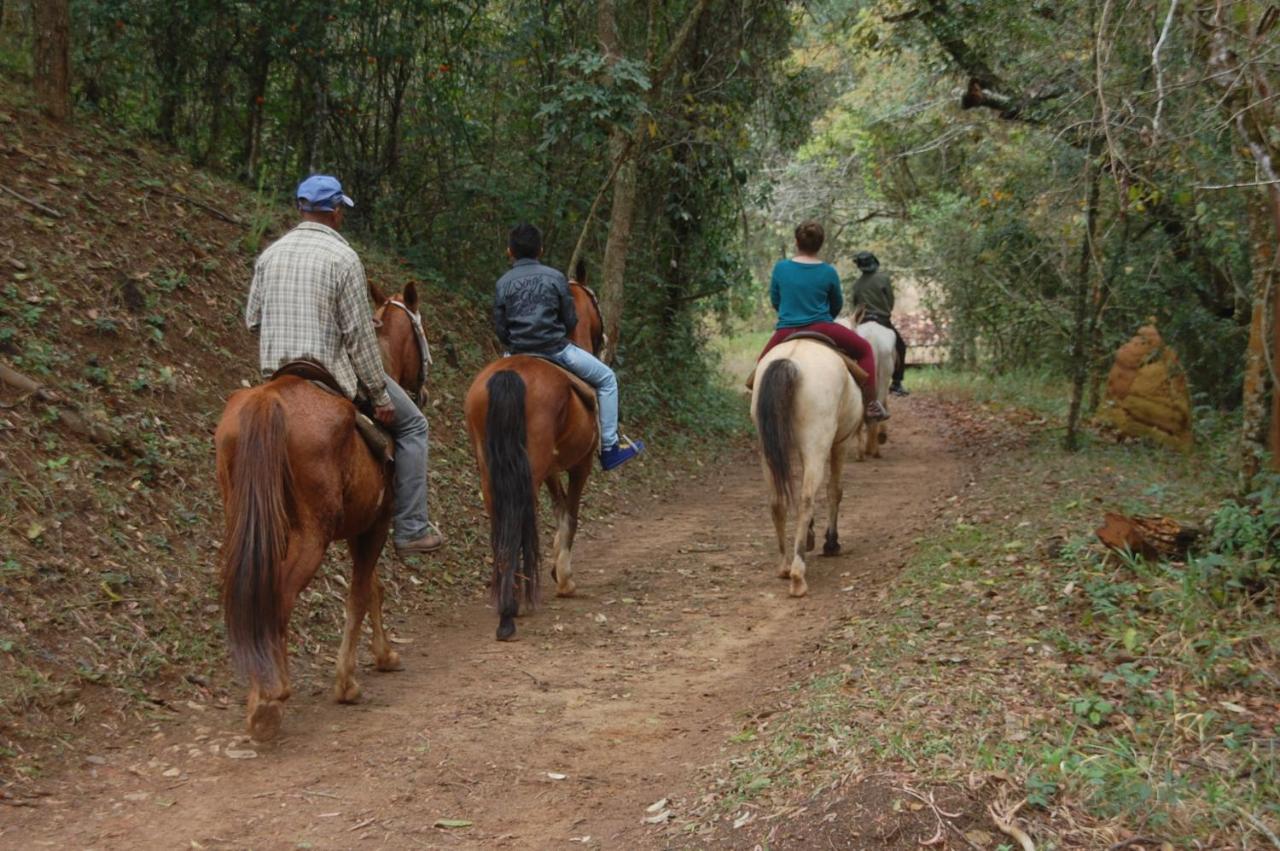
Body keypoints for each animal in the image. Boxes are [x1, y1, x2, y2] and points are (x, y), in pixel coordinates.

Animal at [215, 281, 424, 742]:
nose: (421, 390)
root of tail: (269, 401)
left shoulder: (360, 527)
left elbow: (373, 588)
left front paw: (384, 655)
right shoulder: (376, 523)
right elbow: (361, 593)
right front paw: (346, 683)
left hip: (246, 523)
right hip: (311, 535)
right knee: (278, 596)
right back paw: (271, 696)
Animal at [465, 262, 604, 639]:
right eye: (595, 304)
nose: (603, 342)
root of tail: (510, 375)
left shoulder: (552, 468)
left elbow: (558, 507)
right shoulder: (581, 464)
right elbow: (570, 513)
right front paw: (564, 576)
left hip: (492, 469)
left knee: (501, 517)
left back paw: (507, 593)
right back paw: (514, 604)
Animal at [747, 337, 860, 596]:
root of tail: (791, 360)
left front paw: (810, 535)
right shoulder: (841, 442)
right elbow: (834, 491)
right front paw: (830, 542)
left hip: (767, 449)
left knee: (777, 501)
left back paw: (784, 566)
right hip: (816, 444)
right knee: (807, 499)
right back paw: (798, 574)